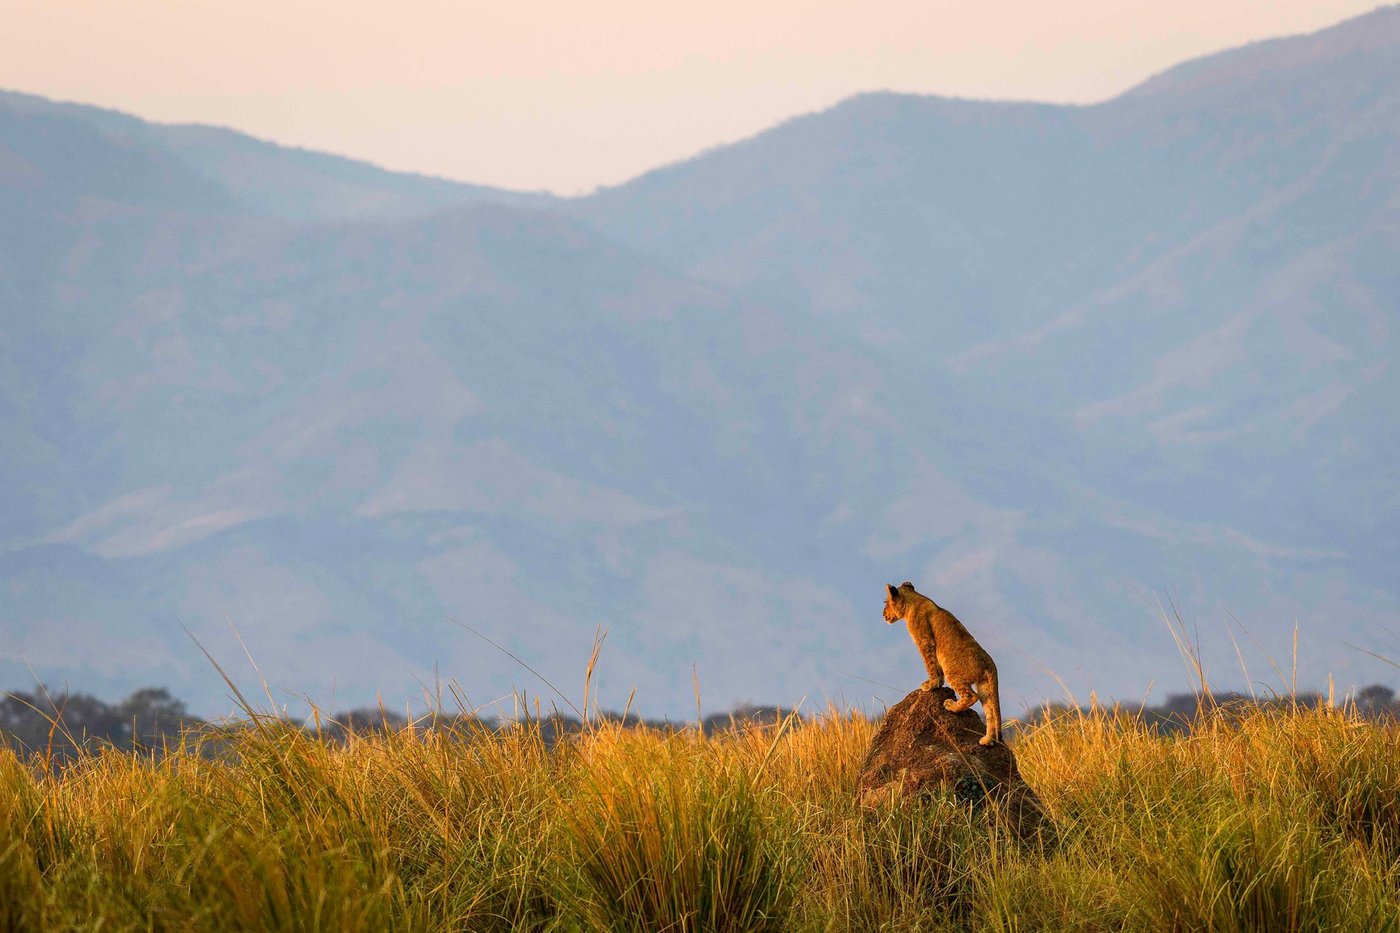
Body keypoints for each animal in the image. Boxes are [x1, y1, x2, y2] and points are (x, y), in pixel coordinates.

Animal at [883, 581, 1002, 745]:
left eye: (885, 603)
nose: (883, 615)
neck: (913, 601)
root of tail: (989, 661)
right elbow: (936, 668)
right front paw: (938, 683)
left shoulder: (925, 641)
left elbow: (930, 664)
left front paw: (930, 685)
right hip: (984, 684)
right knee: (989, 709)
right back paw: (987, 740)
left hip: (952, 670)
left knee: (971, 696)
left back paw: (950, 705)